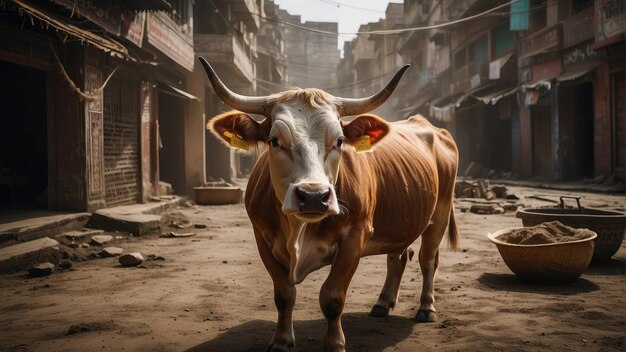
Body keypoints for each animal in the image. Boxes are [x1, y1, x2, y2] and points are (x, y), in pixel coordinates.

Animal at [200, 56, 458, 350]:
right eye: (274, 140)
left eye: (340, 141)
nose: (313, 196)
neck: (298, 231)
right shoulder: (262, 237)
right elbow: (284, 295)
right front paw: (281, 341)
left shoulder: (355, 237)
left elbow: (332, 298)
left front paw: (335, 343)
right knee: (399, 256)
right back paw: (382, 303)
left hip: (440, 212)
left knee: (428, 259)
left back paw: (426, 307)